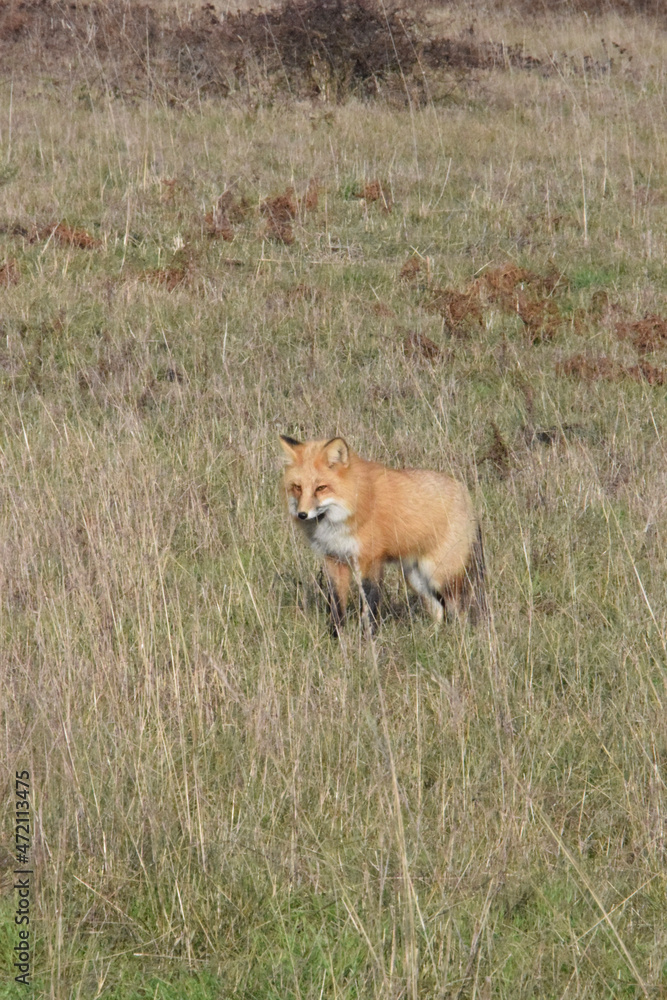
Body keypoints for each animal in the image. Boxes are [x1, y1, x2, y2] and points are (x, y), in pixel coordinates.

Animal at [279, 434, 486, 634]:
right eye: (297, 487)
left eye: (321, 488)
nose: (302, 514)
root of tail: (464, 492)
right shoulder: (334, 560)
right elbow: (336, 606)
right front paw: (336, 637)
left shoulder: (370, 560)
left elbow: (369, 606)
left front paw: (368, 639)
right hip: (416, 578)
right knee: (438, 609)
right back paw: (433, 638)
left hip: (440, 575)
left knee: (460, 610)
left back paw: (459, 637)